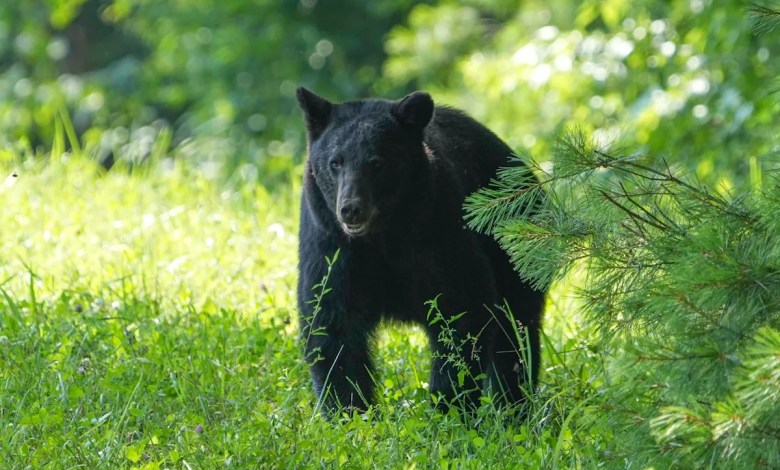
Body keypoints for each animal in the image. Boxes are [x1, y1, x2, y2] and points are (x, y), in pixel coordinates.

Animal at [295, 87, 545, 416]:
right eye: (336, 162)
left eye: (378, 163)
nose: (351, 209)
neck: (381, 237)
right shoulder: (332, 248)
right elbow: (331, 324)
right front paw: (350, 413)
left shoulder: (436, 232)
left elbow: (462, 311)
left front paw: (449, 406)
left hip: (515, 243)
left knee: (516, 331)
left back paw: (513, 405)